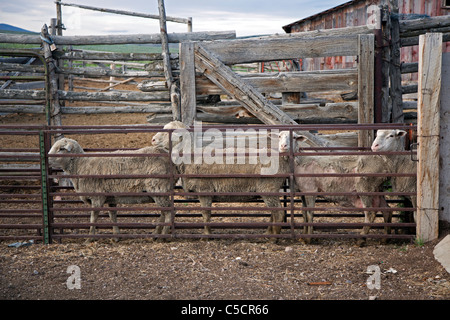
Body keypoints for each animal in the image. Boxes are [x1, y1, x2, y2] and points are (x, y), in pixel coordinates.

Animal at [153, 121, 290, 236]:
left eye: (170, 131)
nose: (153, 139)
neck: (190, 156)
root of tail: (282, 159)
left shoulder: (204, 189)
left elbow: (206, 214)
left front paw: (207, 235)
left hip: (268, 187)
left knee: (278, 213)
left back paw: (274, 237)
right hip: (271, 189)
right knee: (274, 212)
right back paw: (268, 233)